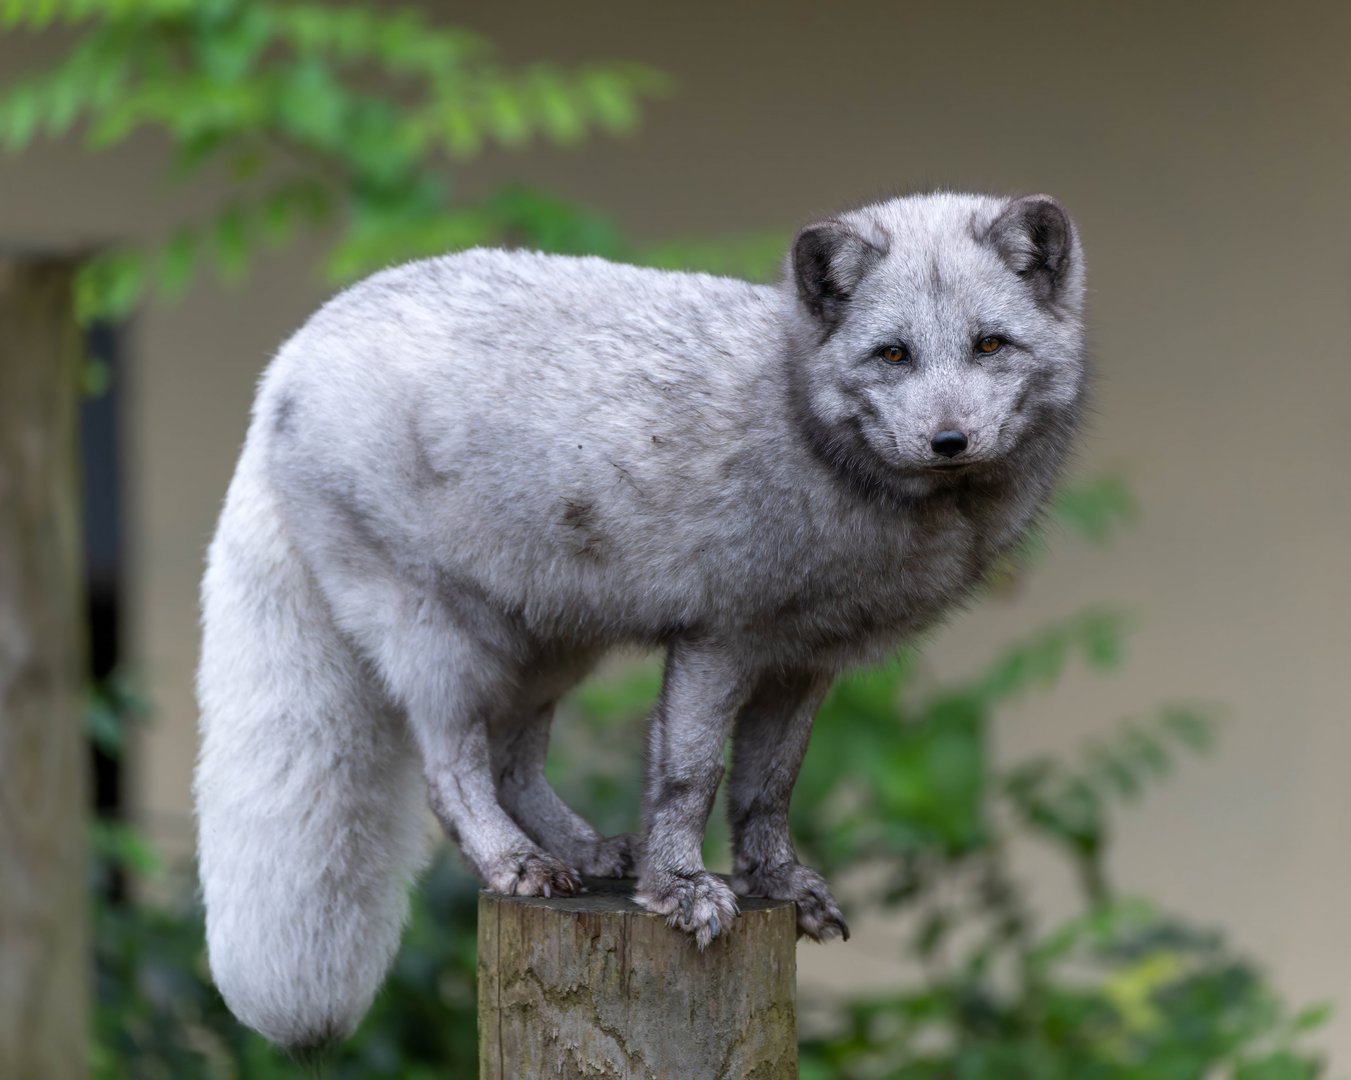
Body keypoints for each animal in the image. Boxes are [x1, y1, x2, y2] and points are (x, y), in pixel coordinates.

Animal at [195, 191, 1088, 1049]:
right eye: (893, 354)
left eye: (990, 345)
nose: (949, 440)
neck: (800, 421)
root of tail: (286, 363)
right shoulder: (718, 638)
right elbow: (688, 777)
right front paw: (681, 889)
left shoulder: (804, 661)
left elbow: (767, 788)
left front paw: (779, 887)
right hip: (443, 644)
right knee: (451, 775)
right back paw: (516, 862)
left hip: (551, 644)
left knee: (513, 762)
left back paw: (587, 853)